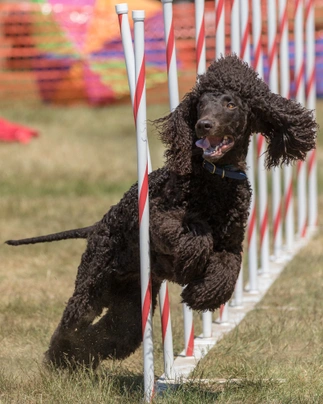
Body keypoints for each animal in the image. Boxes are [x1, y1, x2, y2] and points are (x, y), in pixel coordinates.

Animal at [6, 56, 318, 370]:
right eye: (200, 105)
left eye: (231, 104)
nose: (204, 125)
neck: (214, 179)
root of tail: (97, 226)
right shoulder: (159, 217)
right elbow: (195, 238)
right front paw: (192, 267)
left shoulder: (231, 244)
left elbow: (227, 270)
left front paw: (199, 294)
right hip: (93, 281)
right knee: (72, 321)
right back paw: (58, 361)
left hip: (130, 297)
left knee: (117, 332)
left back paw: (79, 357)